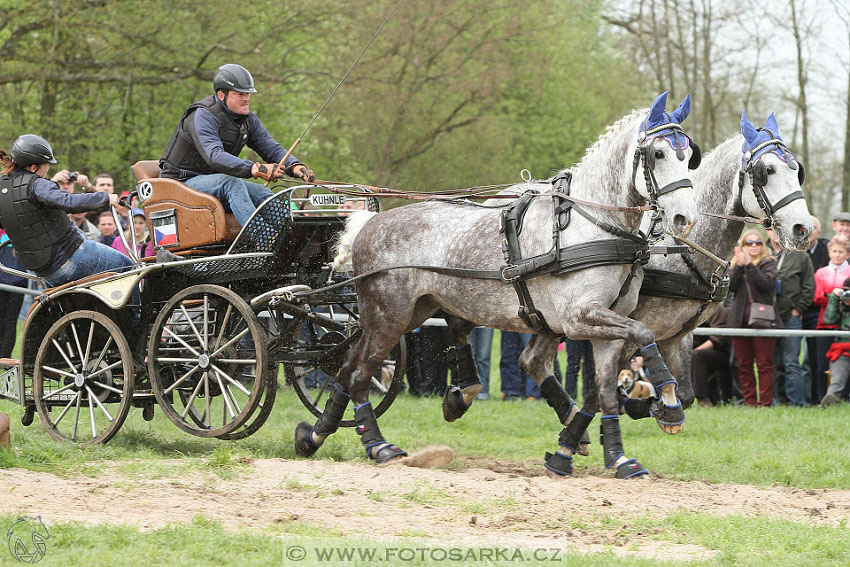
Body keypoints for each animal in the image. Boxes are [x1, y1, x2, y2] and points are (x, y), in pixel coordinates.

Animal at [294, 93, 700, 480]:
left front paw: (618, 458)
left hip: (411, 312)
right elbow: (645, 333)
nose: (685, 219)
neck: (594, 224)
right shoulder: (578, 317)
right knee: (360, 375)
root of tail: (368, 225)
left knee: (346, 369)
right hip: (389, 317)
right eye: (658, 153)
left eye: (688, 156)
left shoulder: (607, 326)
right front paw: (668, 400)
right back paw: (378, 446)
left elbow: (604, 393)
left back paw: (314, 435)